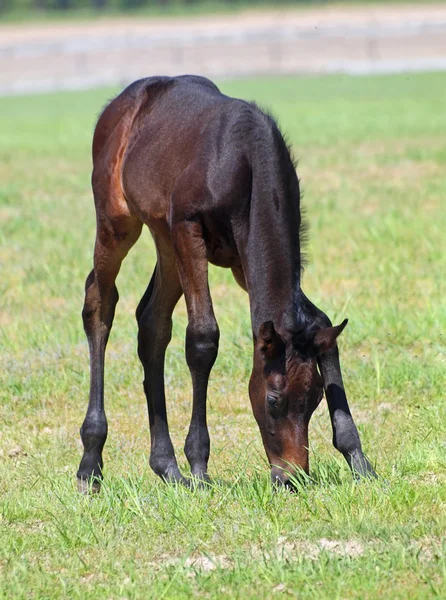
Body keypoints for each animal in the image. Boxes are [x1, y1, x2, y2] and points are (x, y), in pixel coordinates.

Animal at [77, 75, 376, 490]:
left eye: (316, 397)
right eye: (272, 399)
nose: (291, 477)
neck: (244, 159)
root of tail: (120, 104)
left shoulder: (242, 260)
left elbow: (320, 324)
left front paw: (358, 459)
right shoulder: (188, 228)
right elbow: (203, 338)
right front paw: (200, 465)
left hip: (163, 236)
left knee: (152, 322)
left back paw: (166, 467)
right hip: (118, 221)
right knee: (99, 304)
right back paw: (91, 463)